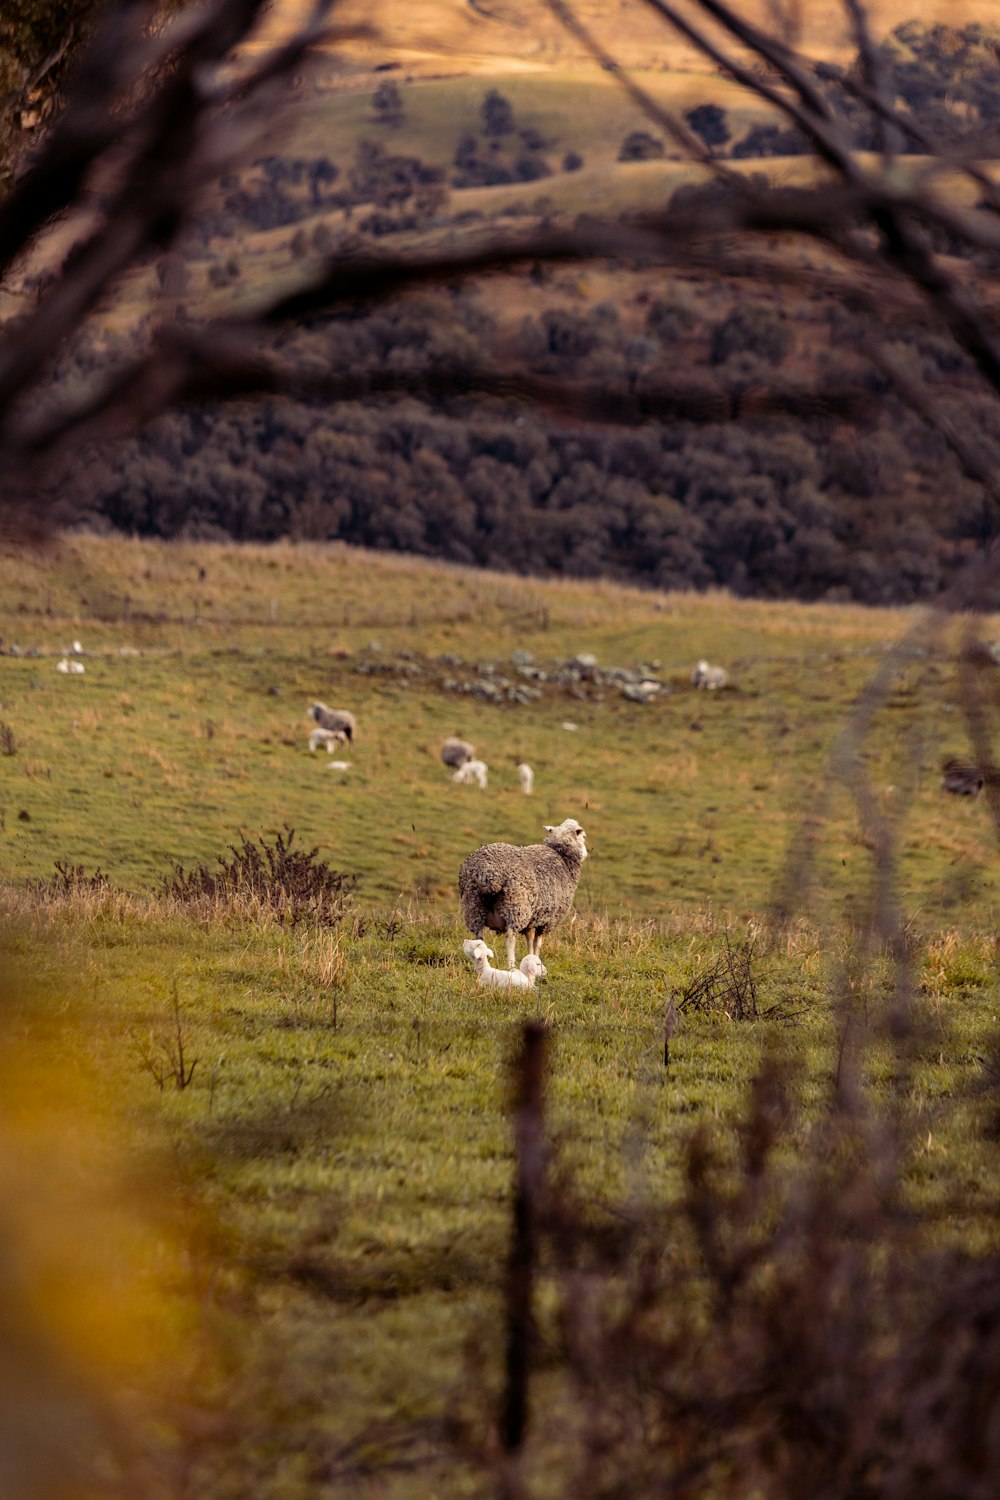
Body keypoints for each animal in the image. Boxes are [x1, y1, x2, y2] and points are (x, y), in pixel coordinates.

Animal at [458, 822, 590, 972]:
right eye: (583, 836)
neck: (562, 856)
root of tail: (487, 871)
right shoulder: (546, 920)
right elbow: (537, 942)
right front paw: (537, 960)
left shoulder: (533, 916)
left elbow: (529, 938)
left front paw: (531, 957)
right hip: (515, 906)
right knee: (510, 939)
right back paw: (511, 965)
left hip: (474, 905)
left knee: (479, 938)